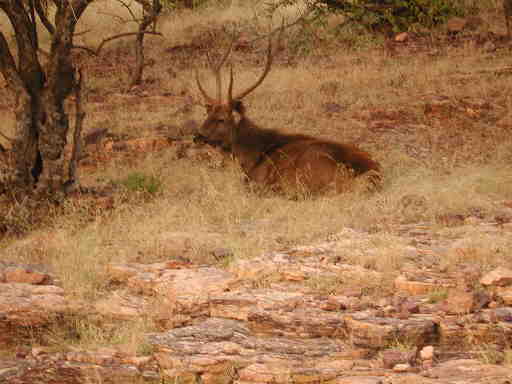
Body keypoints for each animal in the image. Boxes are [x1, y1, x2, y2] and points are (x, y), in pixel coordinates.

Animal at [194, 31, 382, 196]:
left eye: (221, 119)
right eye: (207, 114)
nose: (197, 136)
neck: (249, 156)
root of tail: (372, 174)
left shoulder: (259, 178)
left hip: (307, 173)